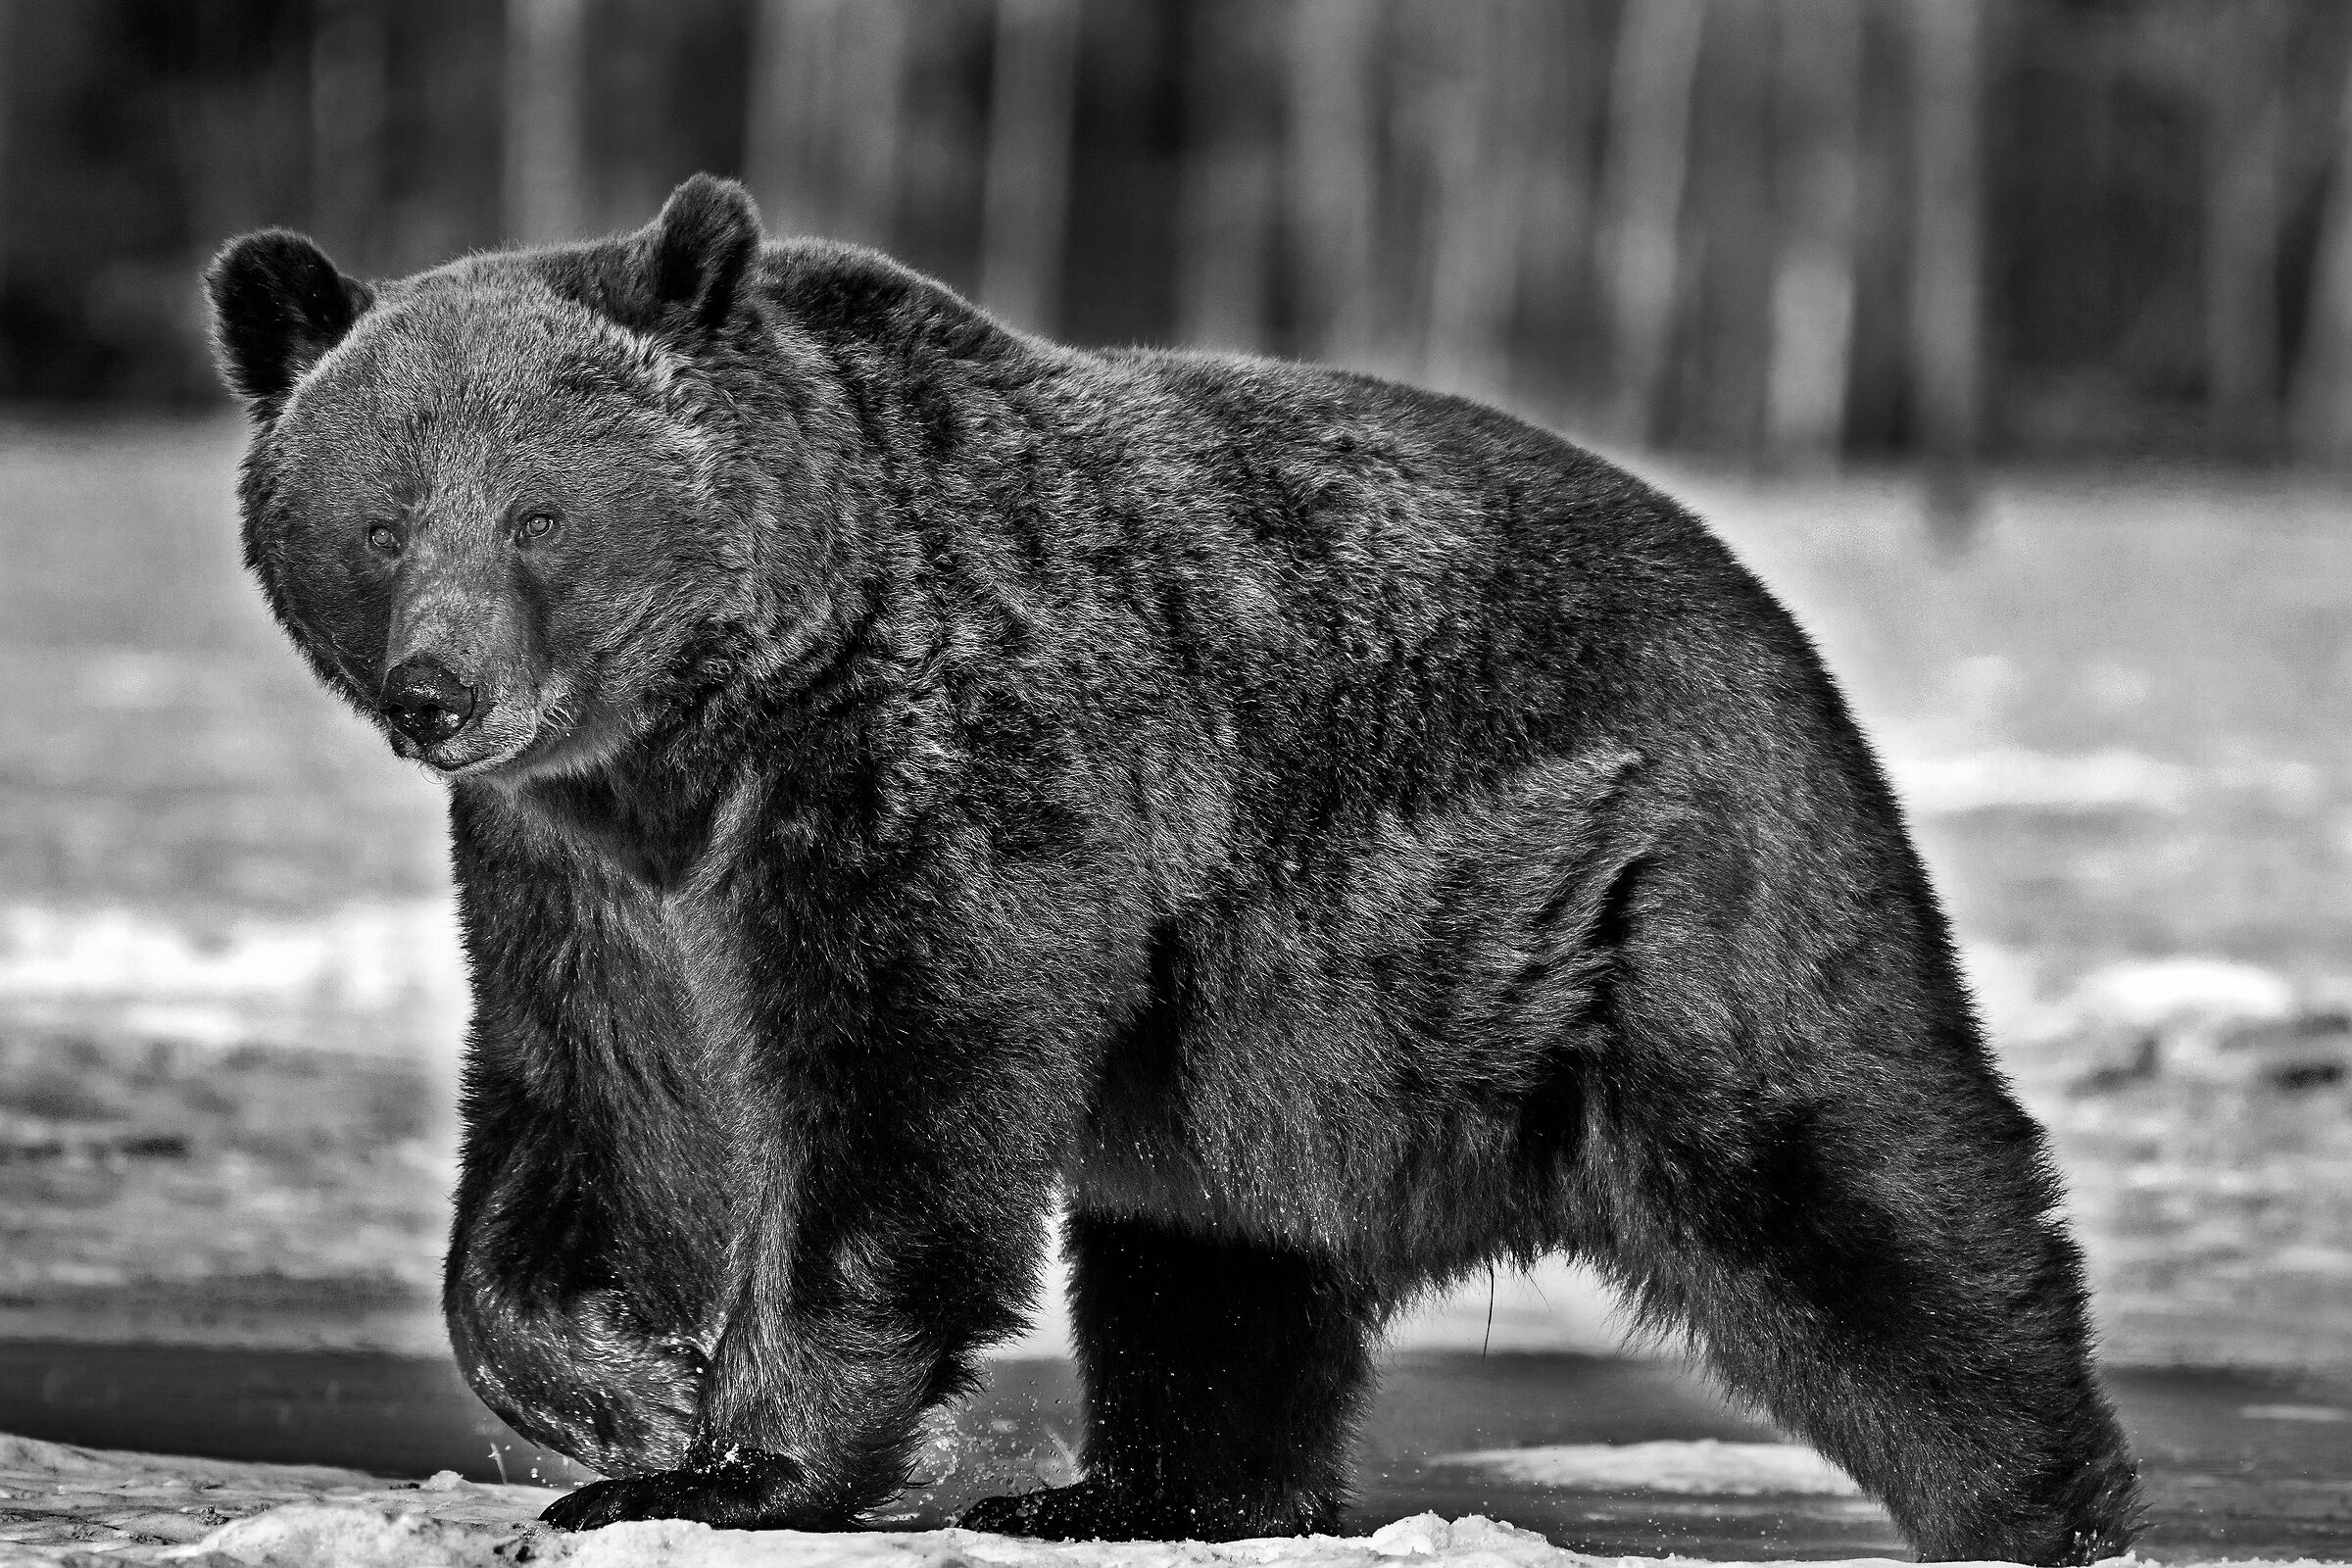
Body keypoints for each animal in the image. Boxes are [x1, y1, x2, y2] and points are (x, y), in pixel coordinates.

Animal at [204, 174, 2140, 1562]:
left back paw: (2044, 1494)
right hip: (1277, 1039)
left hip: (1634, 897)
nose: (440, 692)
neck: (703, 734)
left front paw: (735, 1460)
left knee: (1843, 1181)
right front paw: (624, 1388)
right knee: (1214, 1257)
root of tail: (1762, 602)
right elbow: (590, 1114)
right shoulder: (581, 874)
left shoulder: (942, 763)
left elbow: (893, 1094)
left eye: (539, 513)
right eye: (378, 519)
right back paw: (1131, 1492)